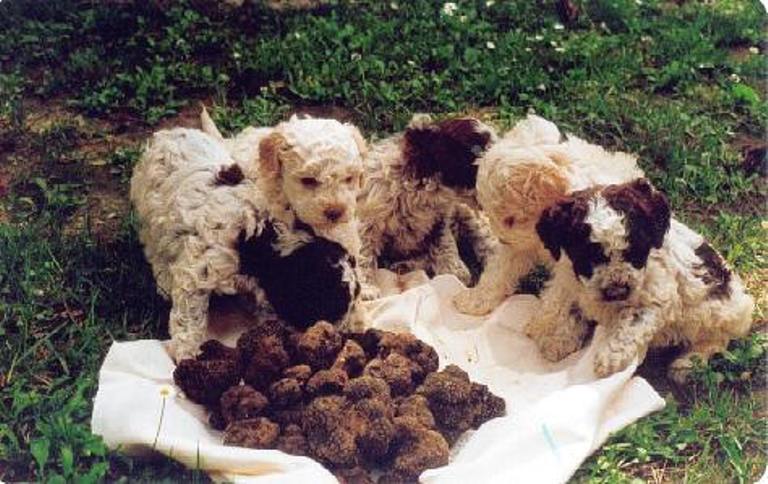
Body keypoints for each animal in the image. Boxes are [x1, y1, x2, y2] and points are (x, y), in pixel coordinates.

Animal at [452, 115, 644, 316]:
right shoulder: (518, 248)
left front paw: (540, 324)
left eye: (510, 220)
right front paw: (475, 300)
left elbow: (558, 298)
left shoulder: (573, 267)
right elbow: (498, 271)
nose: (503, 240)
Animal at [524, 178, 752, 382]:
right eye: (587, 256)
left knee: (716, 340)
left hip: (717, 313)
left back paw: (687, 364)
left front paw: (609, 358)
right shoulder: (569, 279)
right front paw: (554, 339)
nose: (617, 291)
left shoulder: (656, 296)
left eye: (636, 252)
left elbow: (632, 320)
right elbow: (563, 304)